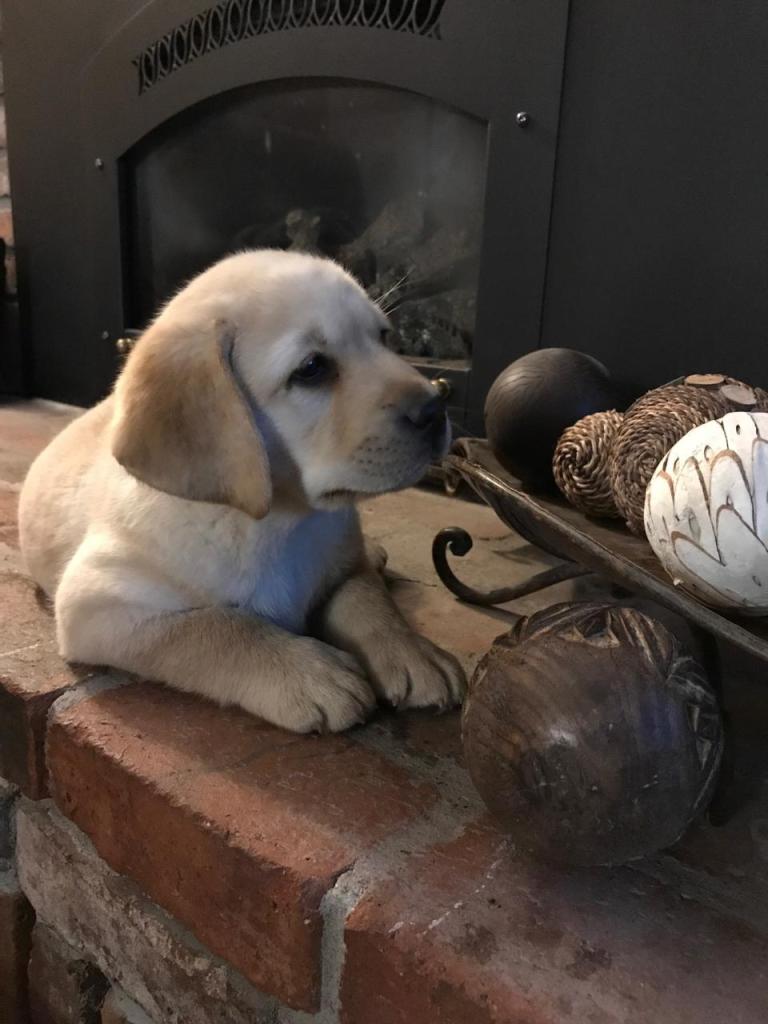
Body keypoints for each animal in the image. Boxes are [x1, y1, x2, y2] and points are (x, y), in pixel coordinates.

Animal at [19, 250, 466, 732]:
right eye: (312, 369)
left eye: (385, 337)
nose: (435, 407)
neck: (276, 520)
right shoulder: (97, 601)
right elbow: (215, 627)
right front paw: (309, 673)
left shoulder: (345, 565)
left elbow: (368, 600)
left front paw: (412, 651)